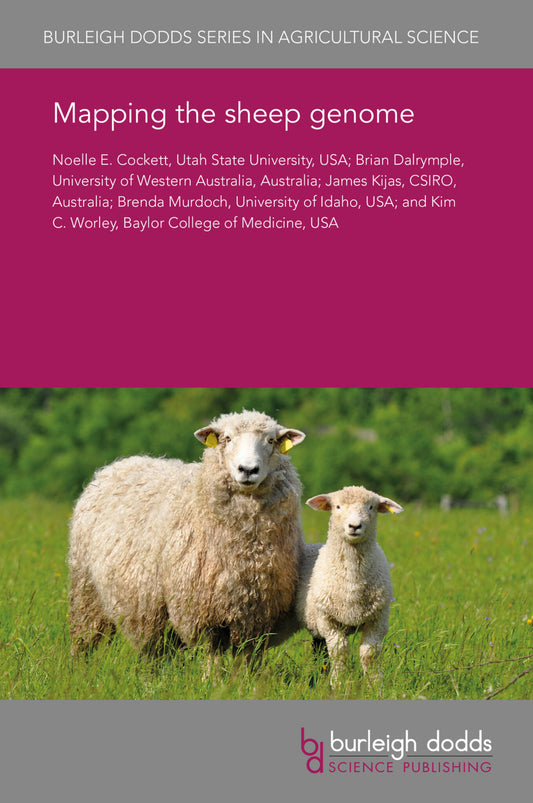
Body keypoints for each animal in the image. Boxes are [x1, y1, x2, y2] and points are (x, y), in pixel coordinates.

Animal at [67, 410, 306, 660]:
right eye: (227, 438)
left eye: (270, 440)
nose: (248, 469)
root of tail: (117, 464)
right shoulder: (202, 614)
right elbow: (212, 658)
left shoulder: (256, 618)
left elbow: (247, 661)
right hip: (86, 590)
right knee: (84, 640)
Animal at [275, 485, 403, 686]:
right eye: (337, 506)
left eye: (371, 507)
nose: (355, 526)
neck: (352, 582)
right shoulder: (328, 619)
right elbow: (339, 652)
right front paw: (339, 683)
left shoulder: (378, 619)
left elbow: (370, 654)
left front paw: (375, 685)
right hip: (317, 620)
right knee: (322, 652)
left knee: (319, 650)